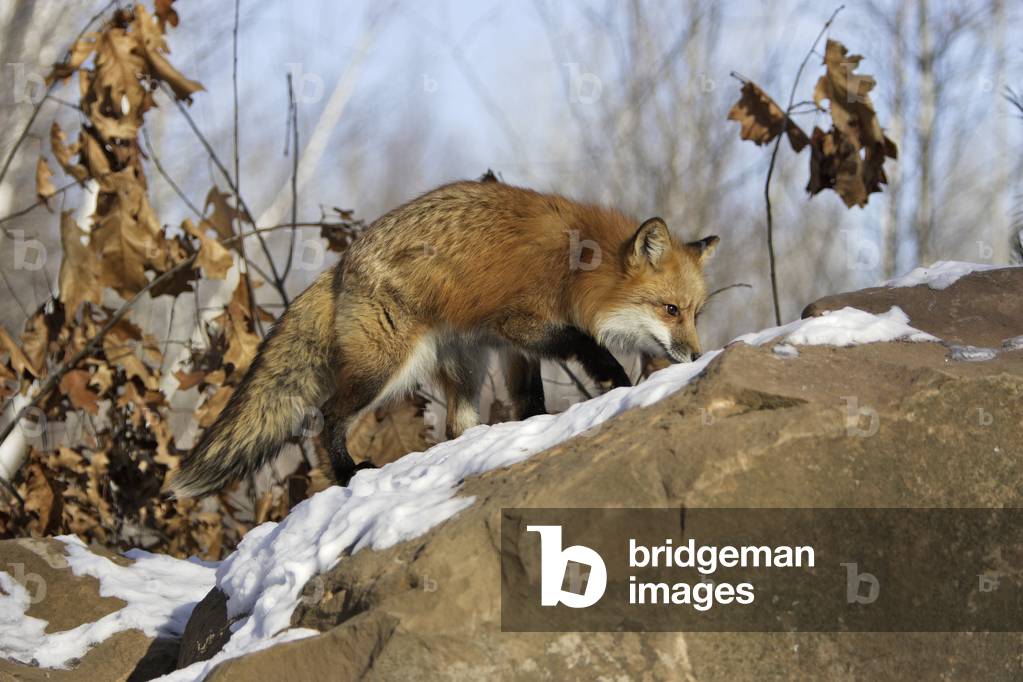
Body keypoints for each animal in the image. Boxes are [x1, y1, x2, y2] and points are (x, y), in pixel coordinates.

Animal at [166, 179, 719, 498]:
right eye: (670, 310)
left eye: (695, 313)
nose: (696, 355)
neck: (578, 264)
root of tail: (339, 268)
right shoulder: (522, 322)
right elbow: (584, 343)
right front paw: (613, 376)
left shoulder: (512, 349)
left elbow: (529, 401)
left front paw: (537, 428)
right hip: (387, 369)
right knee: (326, 417)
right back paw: (347, 474)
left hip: (463, 364)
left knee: (456, 425)